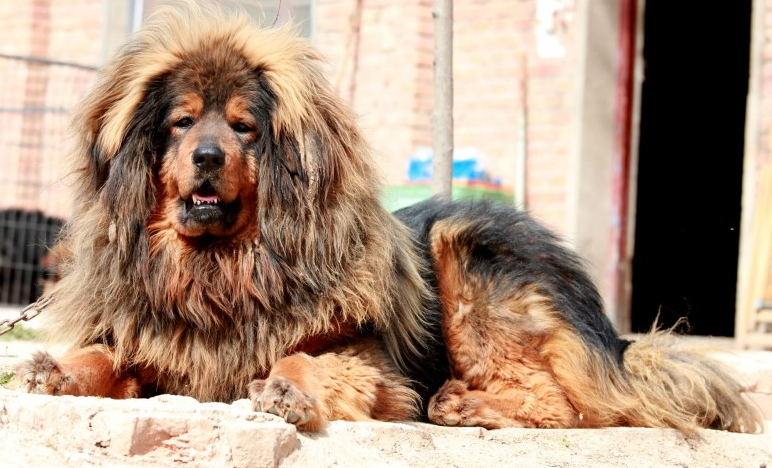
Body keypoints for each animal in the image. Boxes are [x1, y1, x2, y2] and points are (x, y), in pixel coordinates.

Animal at [16, 2, 760, 436]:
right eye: (179, 123)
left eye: (244, 128)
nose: (205, 156)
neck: (224, 268)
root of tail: (612, 333)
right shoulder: (154, 345)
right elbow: (104, 355)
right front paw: (54, 370)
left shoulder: (375, 367)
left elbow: (303, 356)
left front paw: (285, 388)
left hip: (469, 252)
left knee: (579, 403)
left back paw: (464, 404)